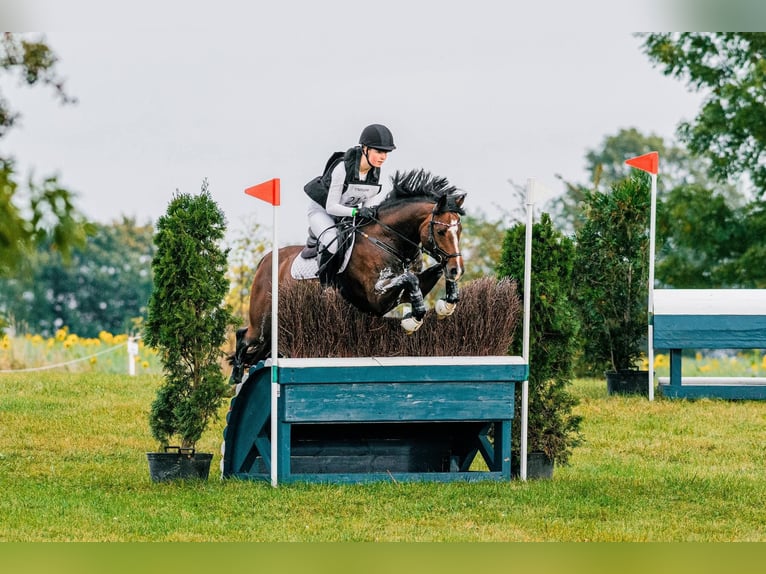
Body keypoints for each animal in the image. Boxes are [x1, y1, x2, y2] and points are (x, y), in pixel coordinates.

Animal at [228, 169, 468, 384]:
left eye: (459, 230)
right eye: (441, 232)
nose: (457, 269)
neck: (386, 239)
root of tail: (265, 260)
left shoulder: (398, 295)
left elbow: (429, 274)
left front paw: (446, 305)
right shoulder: (376, 298)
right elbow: (411, 279)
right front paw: (413, 321)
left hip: (274, 330)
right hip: (263, 320)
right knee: (244, 336)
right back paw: (236, 376)